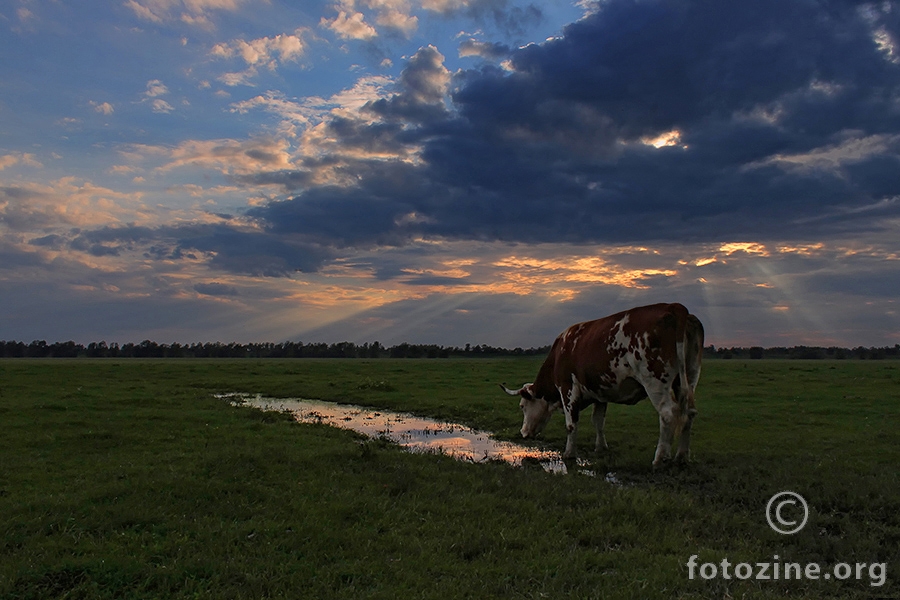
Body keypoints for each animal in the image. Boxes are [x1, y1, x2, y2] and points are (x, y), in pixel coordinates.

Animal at [500, 302, 704, 466]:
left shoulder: (567, 388)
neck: (560, 352)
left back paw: (660, 458)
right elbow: (598, 421)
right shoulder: (599, 392)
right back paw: (681, 456)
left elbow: (571, 424)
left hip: (655, 380)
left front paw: (569, 453)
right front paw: (600, 447)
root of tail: (673, 307)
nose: (523, 432)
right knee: (689, 413)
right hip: (689, 377)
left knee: (668, 414)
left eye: (522, 406)